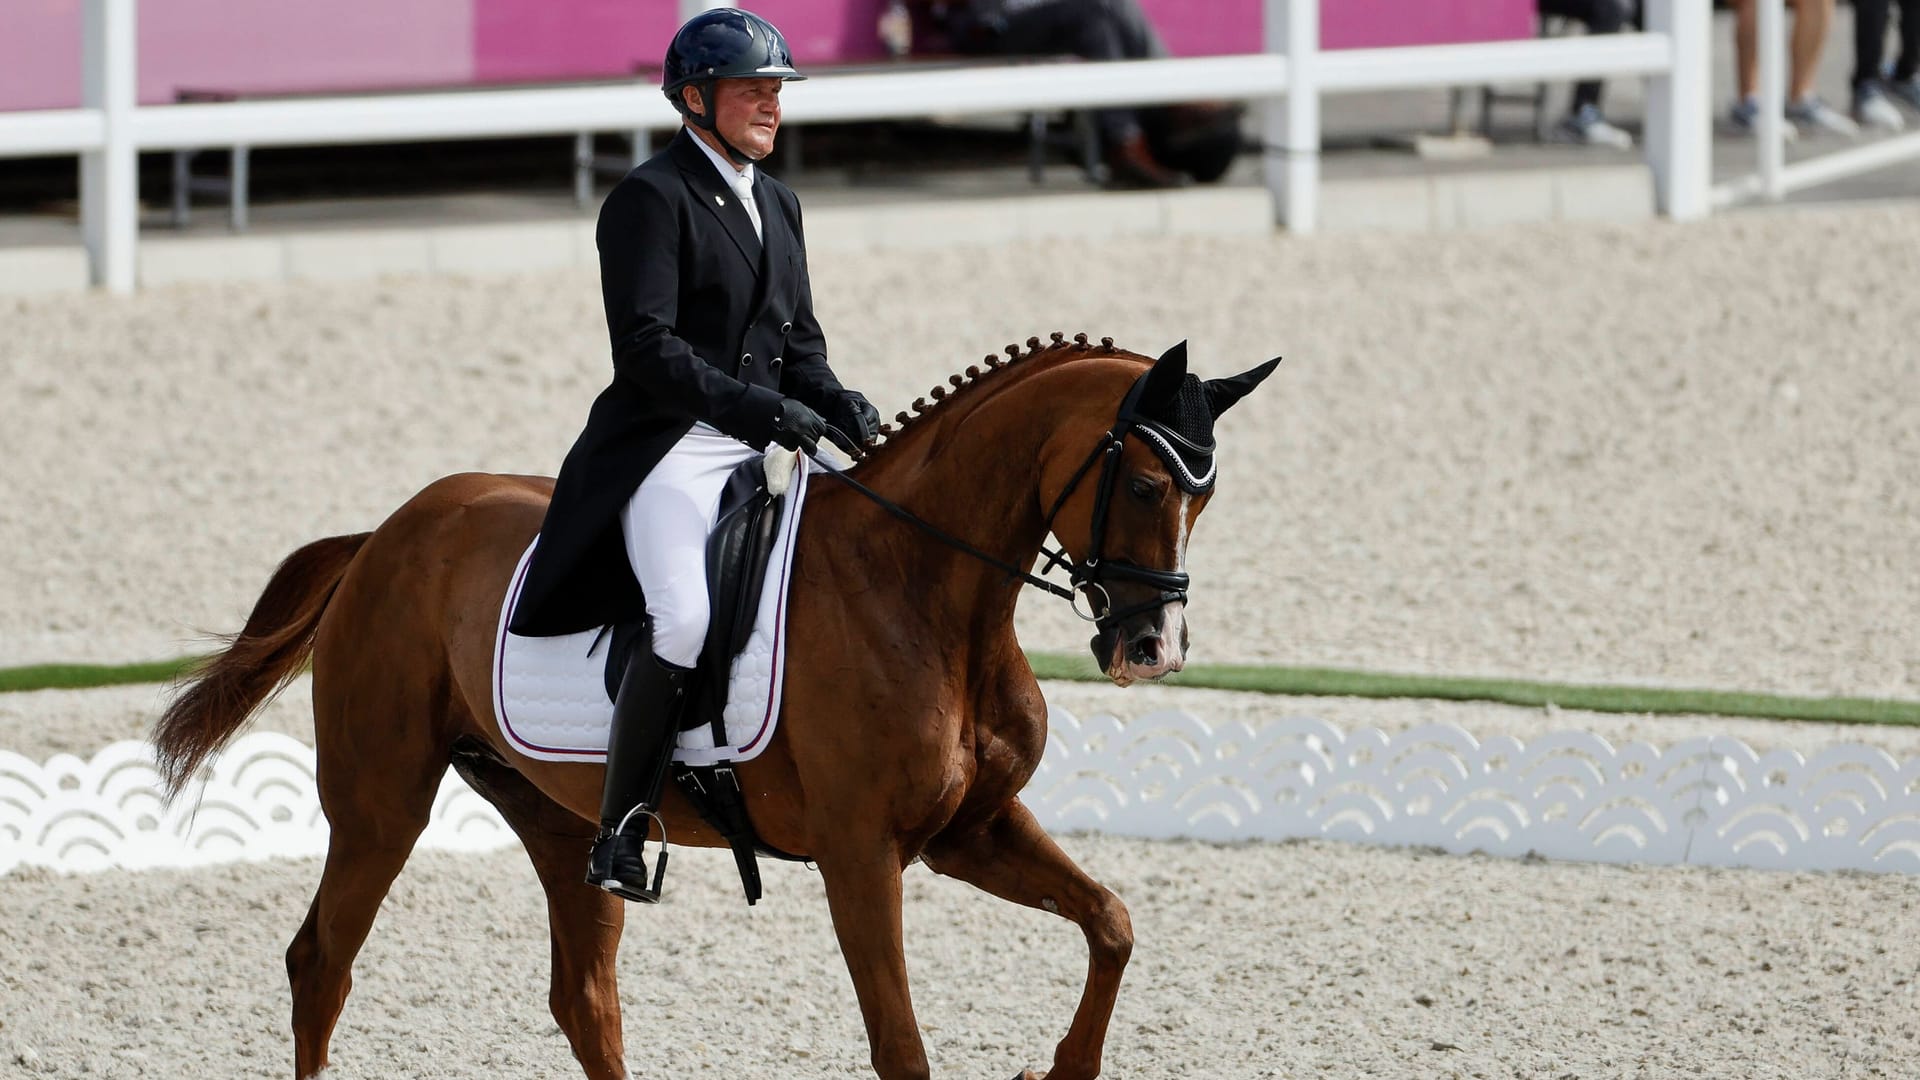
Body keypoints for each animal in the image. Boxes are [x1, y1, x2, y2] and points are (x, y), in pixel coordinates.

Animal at [149, 330, 1274, 1076]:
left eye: (1208, 495)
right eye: (1144, 485)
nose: (1152, 649)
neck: (926, 593)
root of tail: (387, 531)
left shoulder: (971, 830)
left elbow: (1112, 923)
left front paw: (1063, 1066)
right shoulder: (862, 855)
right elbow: (901, 1045)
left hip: (562, 818)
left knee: (583, 996)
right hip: (383, 801)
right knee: (321, 964)